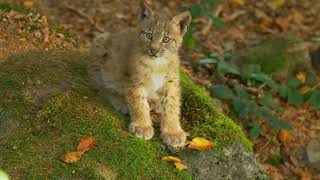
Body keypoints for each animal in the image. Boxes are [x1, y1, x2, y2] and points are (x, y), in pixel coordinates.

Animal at [89, 0, 191, 147]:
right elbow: (139, 103)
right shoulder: (135, 81)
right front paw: (142, 126)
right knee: (100, 87)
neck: (158, 62)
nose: (154, 50)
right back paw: (121, 102)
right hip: (100, 43)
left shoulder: (171, 83)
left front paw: (173, 132)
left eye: (166, 39)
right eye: (149, 35)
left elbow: (172, 106)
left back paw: (154, 102)